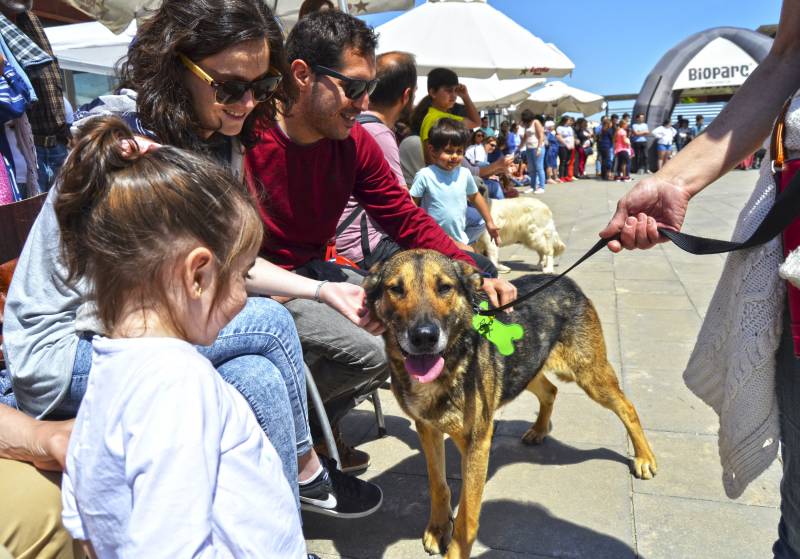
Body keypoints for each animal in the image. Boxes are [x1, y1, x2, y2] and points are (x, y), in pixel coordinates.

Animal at [366, 250, 660, 559]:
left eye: (444, 287)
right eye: (396, 289)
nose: (424, 337)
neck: (447, 368)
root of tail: (565, 281)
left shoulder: (477, 442)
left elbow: (467, 516)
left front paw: (456, 549)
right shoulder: (427, 429)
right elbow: (438, 484)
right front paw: (438, 527)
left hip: (590, 375)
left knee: (627, 408)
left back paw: (644, 458)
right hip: (526, 367)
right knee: (550, 391)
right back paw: (539, 430)